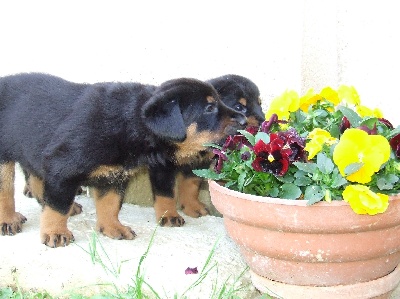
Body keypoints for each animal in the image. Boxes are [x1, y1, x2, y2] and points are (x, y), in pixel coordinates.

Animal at [0, 73, 247, 248]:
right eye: (209, 108)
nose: (245, 120)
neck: (130, 121)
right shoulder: (62, 169)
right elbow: (57, 206)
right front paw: (55, 232)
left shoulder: (113, 175)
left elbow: (110, 205)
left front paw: (112, 228)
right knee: (7, 192)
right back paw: (9, 220)